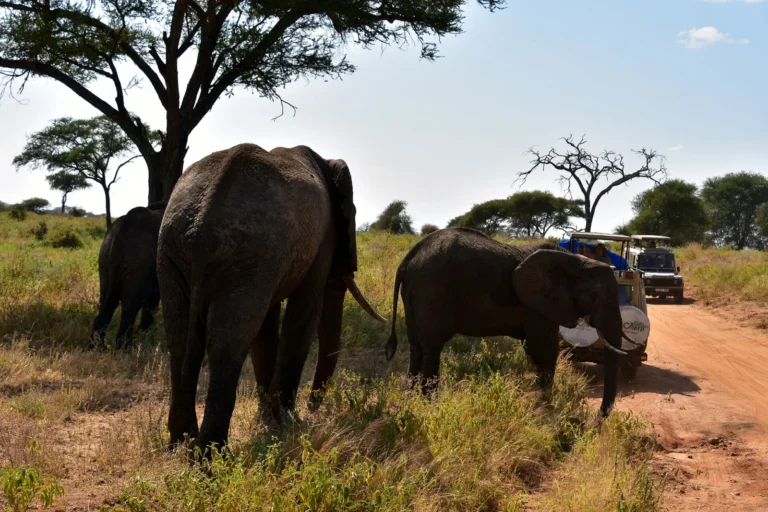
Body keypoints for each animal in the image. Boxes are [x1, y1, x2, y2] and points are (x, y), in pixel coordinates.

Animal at [91, 203, 165, 349]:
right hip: (138, 260)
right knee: (131, 303)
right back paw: (125, 349)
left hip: (105, 259)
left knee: (107, 301)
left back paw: (97, 346)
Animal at [157, 143, 386, 452]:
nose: (314, 409)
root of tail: (200, 225)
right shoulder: (322, 238)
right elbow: (304, 314)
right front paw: (287, 424)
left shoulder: (270, 264)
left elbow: (266, 328)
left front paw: (270, 421)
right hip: (245, 252)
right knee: (227, 341)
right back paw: (211, 454)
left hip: (177, 252)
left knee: (180, 339)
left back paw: (181, 444)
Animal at [384, 227, 628, 417]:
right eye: (594, 296)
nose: (599, 418)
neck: (575, 260)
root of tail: (408, 259)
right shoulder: (537, 305)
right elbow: (544, 347)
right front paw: (546, 403)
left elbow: (534, 348)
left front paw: (541, 398)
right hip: (433, 289)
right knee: (432, 346)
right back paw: (430, 405)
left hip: (413, 292)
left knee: (416, 344)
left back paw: (412, 400)